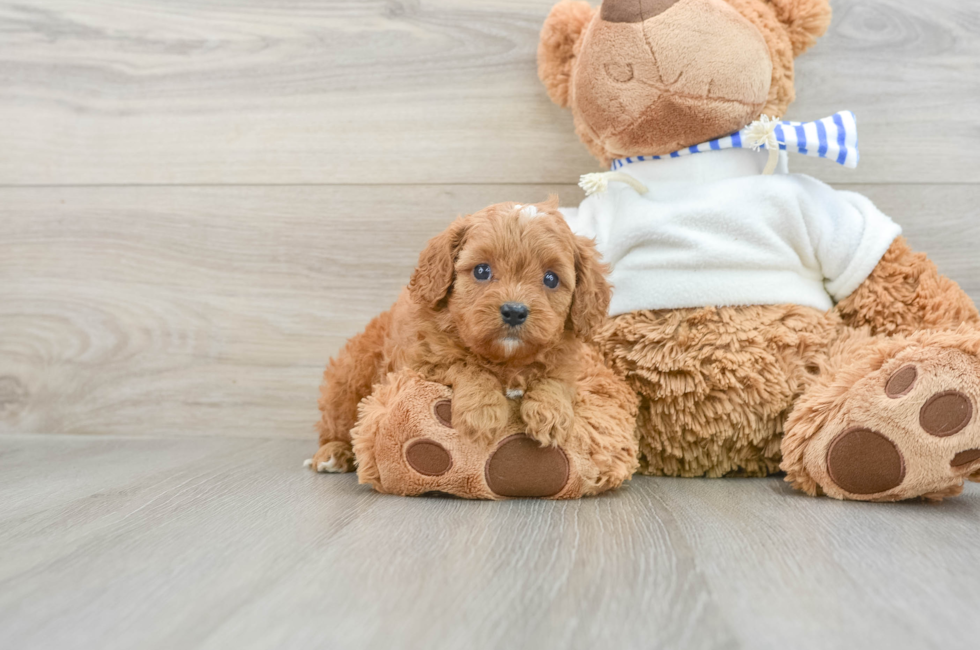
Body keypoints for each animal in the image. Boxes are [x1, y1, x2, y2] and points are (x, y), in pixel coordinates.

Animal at [310, 197, 608, 470]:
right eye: (482, 270)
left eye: (551, 279)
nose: (514, 311)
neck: (506, 361)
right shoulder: (424, 361)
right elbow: (467, 365)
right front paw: (482, 412)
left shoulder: (566, 362)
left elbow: (556, 378)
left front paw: (551, 412)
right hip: (349, 379)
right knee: (338, 423)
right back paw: (333, 453)